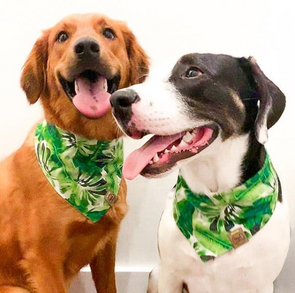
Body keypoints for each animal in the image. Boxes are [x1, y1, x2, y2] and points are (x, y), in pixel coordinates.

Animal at [110, 53, 290, 292]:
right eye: (146, 77)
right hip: (156, 273)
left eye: (193, 72)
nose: (115, 99)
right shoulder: (170, 275)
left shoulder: (261, 284)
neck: (217, 200)